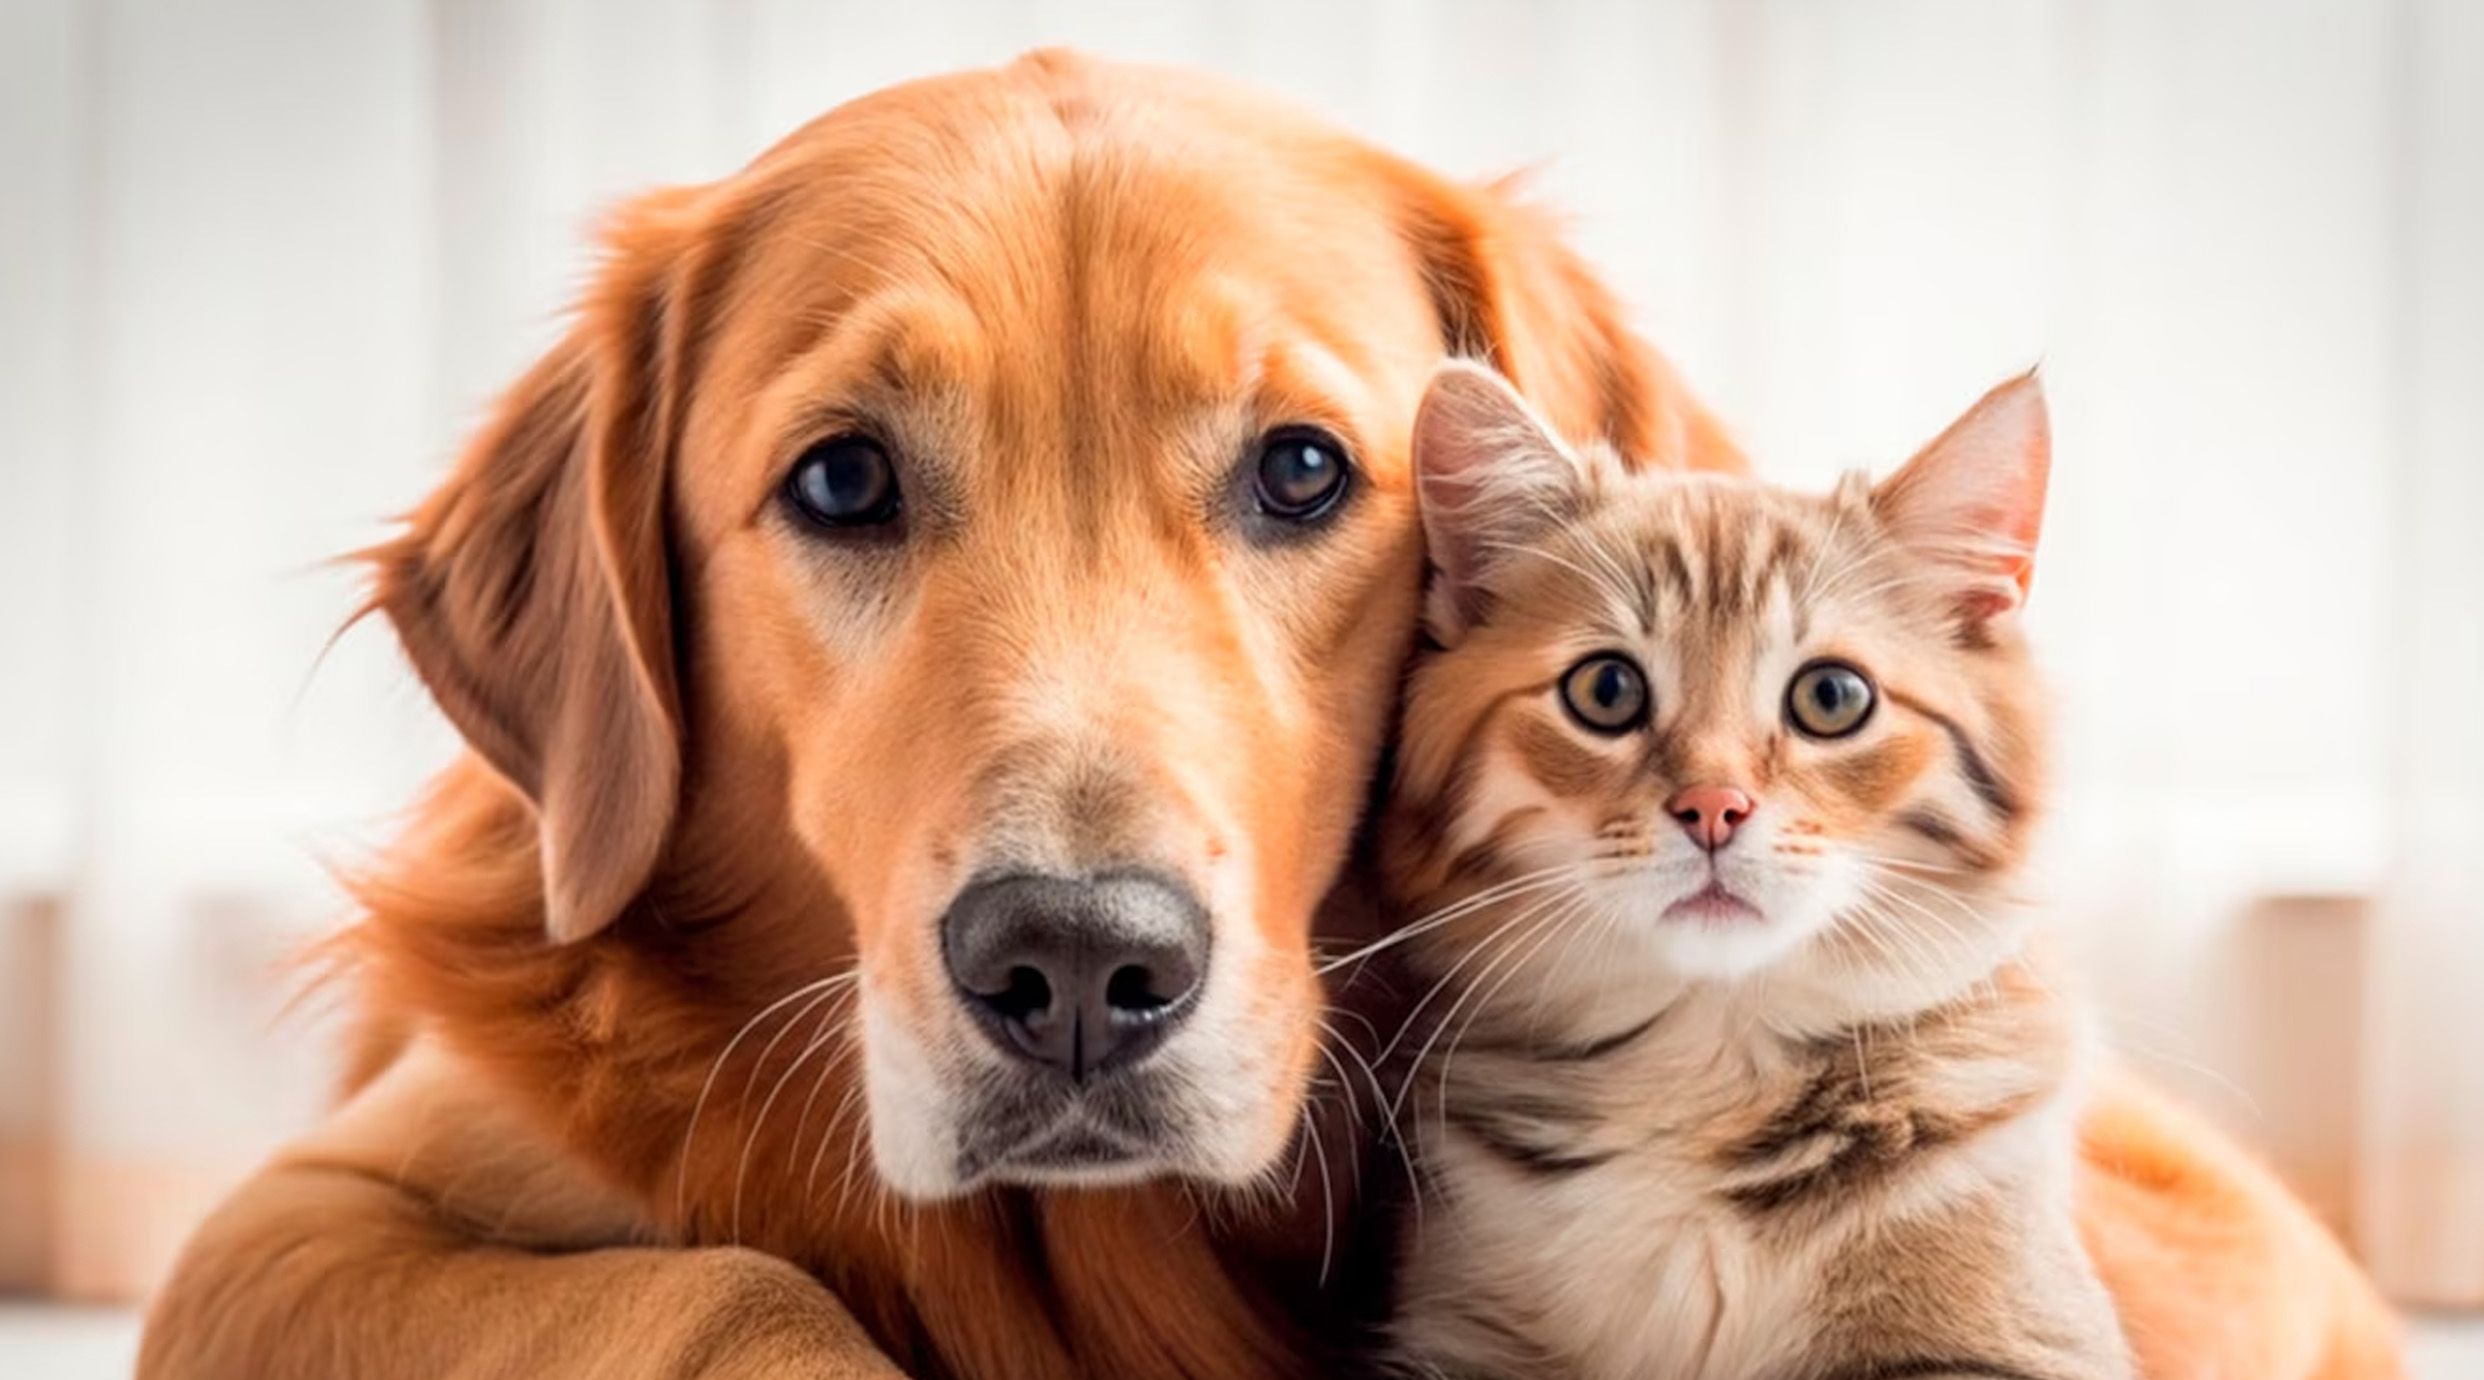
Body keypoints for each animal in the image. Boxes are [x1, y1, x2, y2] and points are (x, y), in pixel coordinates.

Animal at [1371, 357, 2126, 1380]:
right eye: (1606, 690)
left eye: (1832, 697)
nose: (1713, 808)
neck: (1706, 1071)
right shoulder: (1459, 1326)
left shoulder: (2021, 1333)